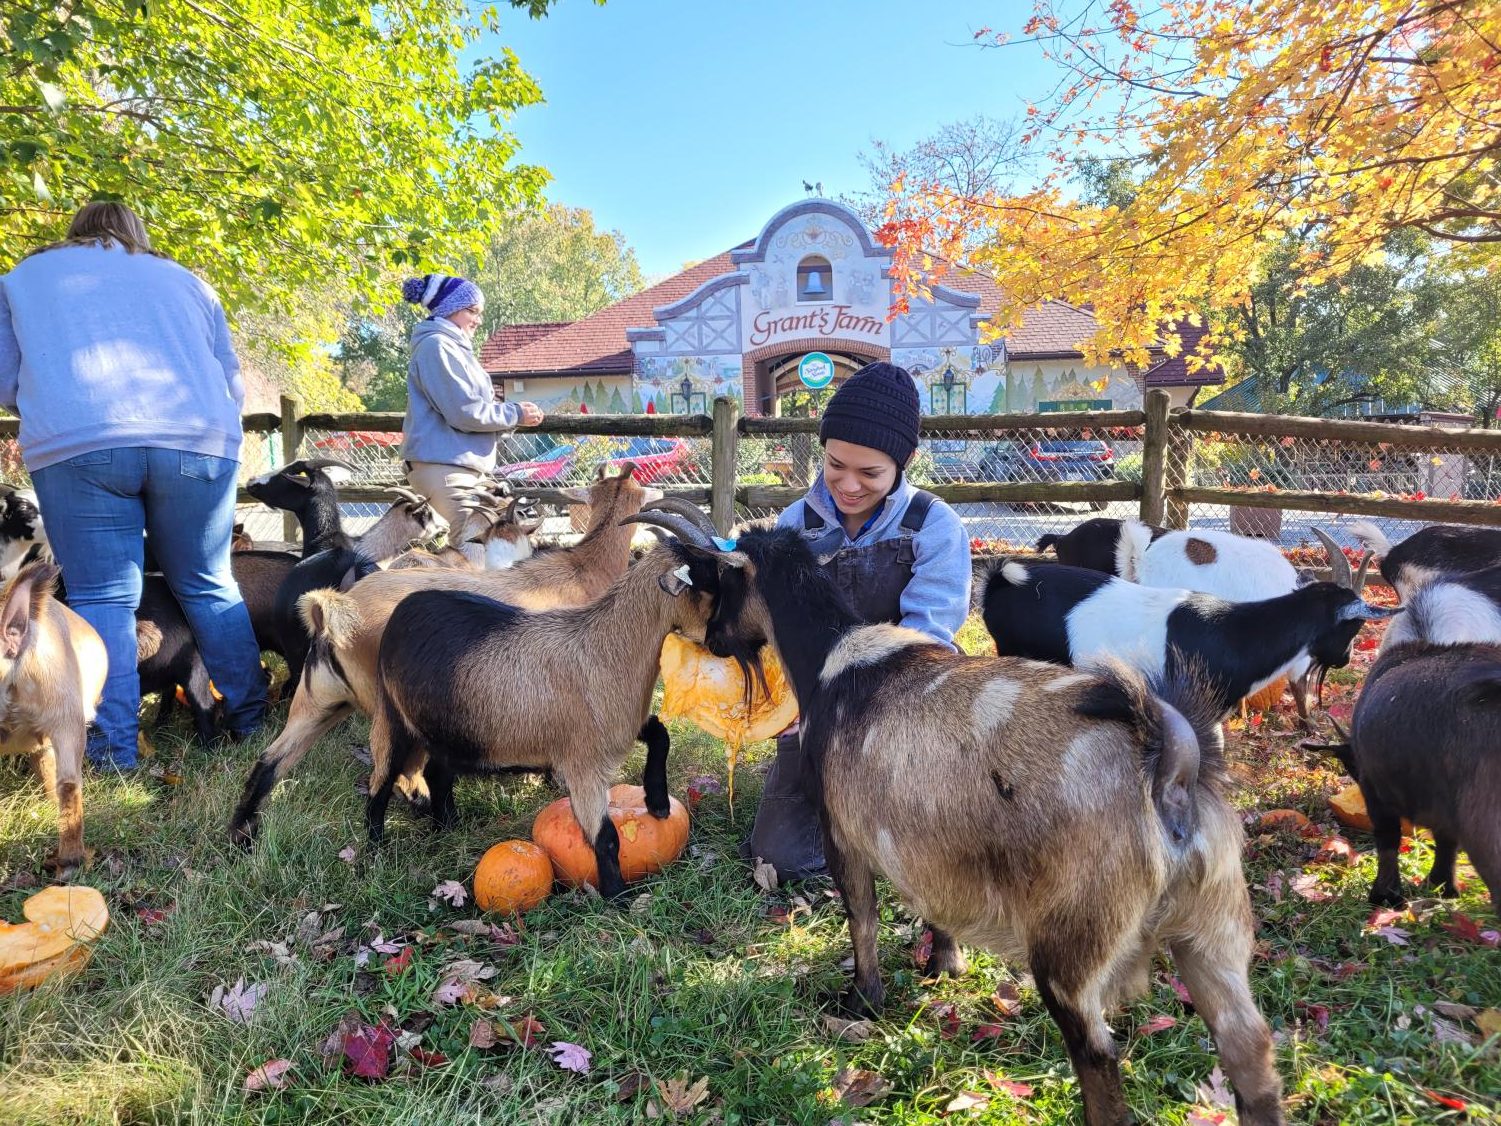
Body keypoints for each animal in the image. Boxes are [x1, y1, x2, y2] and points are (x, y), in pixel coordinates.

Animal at [228, 459, 663, 846]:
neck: (581, 567)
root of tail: (335, 611)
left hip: (320, 700)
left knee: (270, 761)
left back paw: (242, 836)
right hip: (397, 712)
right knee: (402, 773)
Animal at [639, 510, 1284, 1126]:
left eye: (717, 581)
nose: (713, 639)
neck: (834, 659)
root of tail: (1172, 772)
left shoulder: (843, 831)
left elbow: (862, 916)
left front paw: (863, 999)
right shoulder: (927, 843)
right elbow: (935, 902)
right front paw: (945, 967)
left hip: (1074, 942)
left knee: (1098, 1057)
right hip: (1215, 930)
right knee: (1250, 1054)